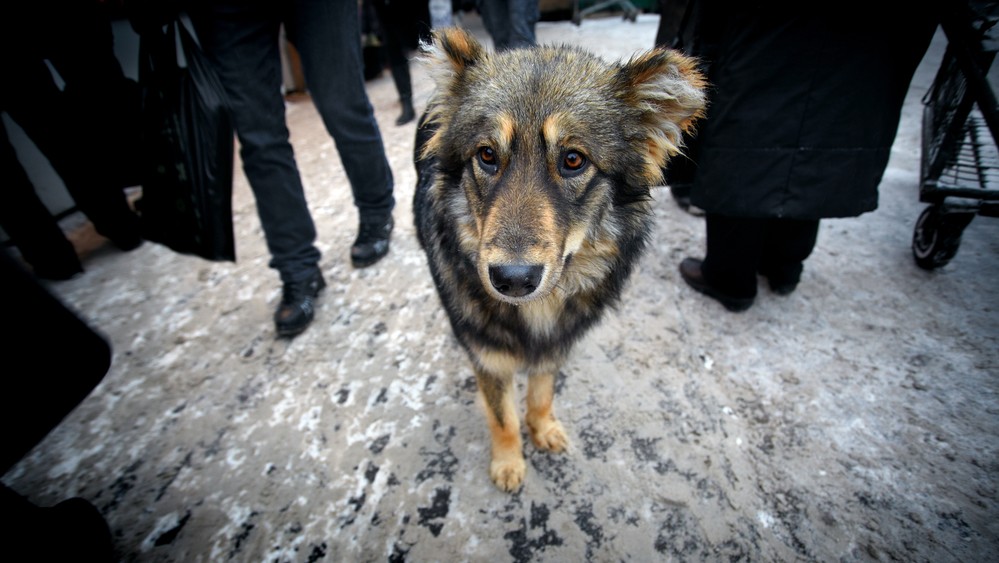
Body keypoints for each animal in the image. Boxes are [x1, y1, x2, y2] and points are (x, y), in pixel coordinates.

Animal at [414, 28, 712, 492]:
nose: (513, 279)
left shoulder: (557, 344)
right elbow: (503, 418)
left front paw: (543, 429)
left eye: (573, 160)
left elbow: (541, 395)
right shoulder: (489, 360)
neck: (536, 311)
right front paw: (509, 463)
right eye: (487, 155)